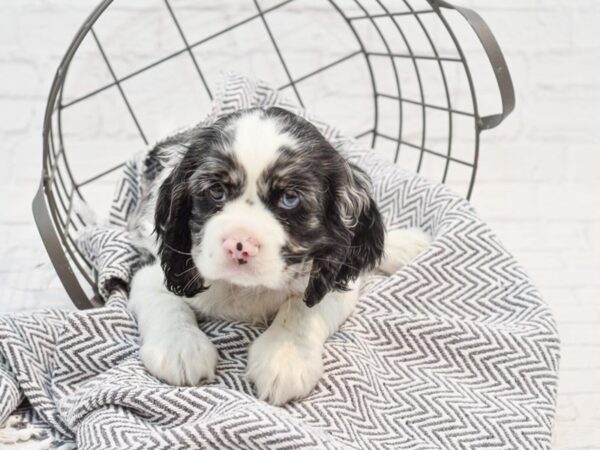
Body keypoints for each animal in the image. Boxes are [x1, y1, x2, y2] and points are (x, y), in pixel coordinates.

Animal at [127, 107, 432, 406]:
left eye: (290, 198)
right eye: (216, 191)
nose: (240, 245)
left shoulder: (332, 279)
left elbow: (300, 309)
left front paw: (284, 358)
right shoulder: (153, 269)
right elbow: (165, 301)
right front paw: (180, 348)